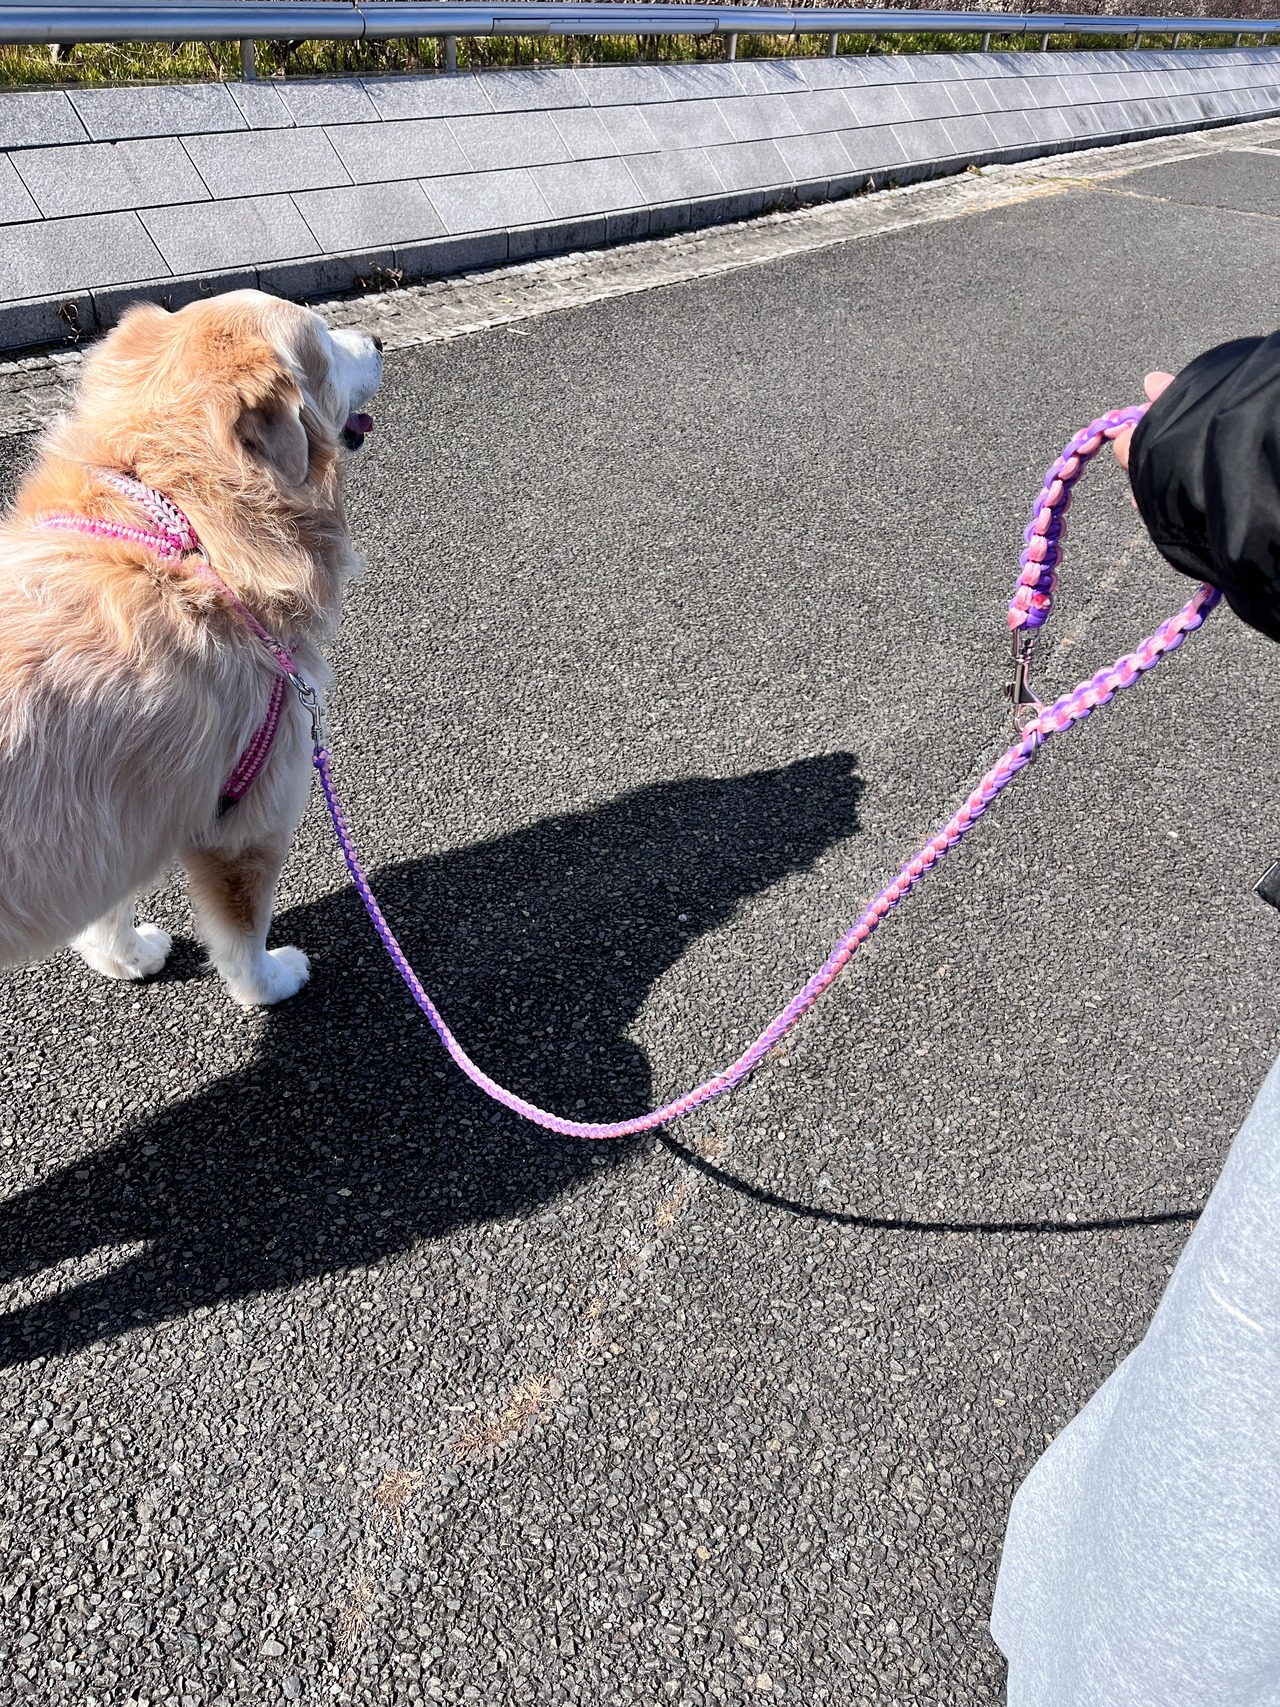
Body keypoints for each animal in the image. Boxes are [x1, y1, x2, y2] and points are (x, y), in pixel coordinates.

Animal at [0, 289, 382, 1005]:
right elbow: (243, 929)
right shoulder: (246, 804)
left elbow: (108, 902)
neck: (184, 519)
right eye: (322, 338)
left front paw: (122, 955)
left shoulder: (106, 813)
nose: (377, 338)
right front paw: (269, 982)